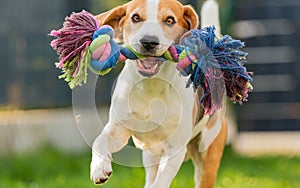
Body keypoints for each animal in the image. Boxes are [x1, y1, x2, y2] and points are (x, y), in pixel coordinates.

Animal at [90, 0, 226, 187]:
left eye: (169, 20)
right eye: (136, 17)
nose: (149, 42)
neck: (150, 87)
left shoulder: (174, 150)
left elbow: (161, 181)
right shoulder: (117, 131)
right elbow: (98, 142)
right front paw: (99, 167)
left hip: (207, 159)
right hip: (150, 156)